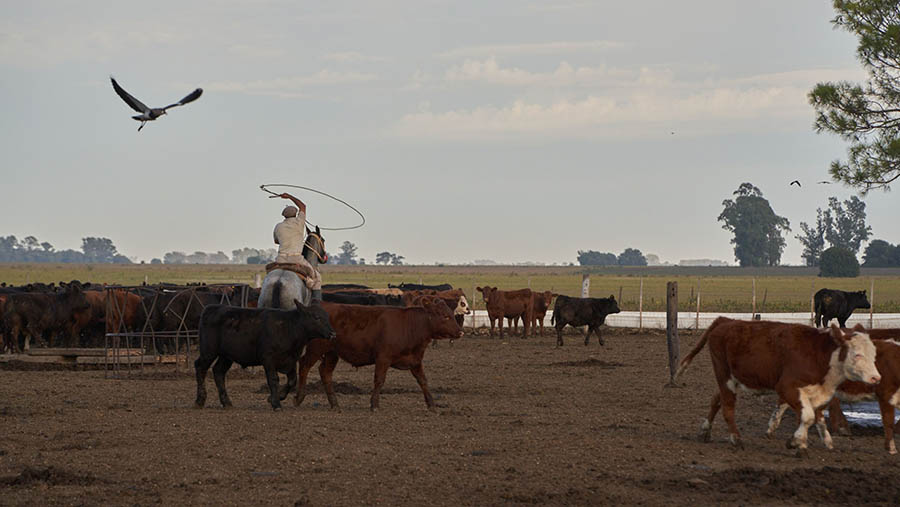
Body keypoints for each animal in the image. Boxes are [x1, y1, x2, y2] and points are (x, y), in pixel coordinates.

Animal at [195, 302, 336, 412]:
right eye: (316, 317)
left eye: (327, 316)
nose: (333, 334)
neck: (288, 328)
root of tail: (210, 308)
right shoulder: (268, 359)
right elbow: (273, 379)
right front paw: (276, 403)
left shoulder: (291, 360)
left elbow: (292, 380)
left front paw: (279, 396)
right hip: (208, 351)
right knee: (200, 367)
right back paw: (200, 400)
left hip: (226, 356)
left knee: (218, 372)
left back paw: (226, 402)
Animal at [296, 300, 464, 410]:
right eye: (445, 316)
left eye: (451, 314)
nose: (460, 332)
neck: (411, 326)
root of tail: (323, 304)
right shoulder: (383, 358)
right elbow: (379, 380)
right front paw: (374, 404)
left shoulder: (415, 361)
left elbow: (423, 381)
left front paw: (431, 404)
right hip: (316, 348)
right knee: (304, 366)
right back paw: (299, 397)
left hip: (332, 353)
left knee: (325, 373)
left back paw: (334, 403)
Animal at [676, 318, 880, 456]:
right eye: (857, 354)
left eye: (874, 353)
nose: (876, 378)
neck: (819, 354)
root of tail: (726, 321)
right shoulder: (786, 388)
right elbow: (807, 417)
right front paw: (798, 444)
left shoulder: (817, 393)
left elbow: (817, 417)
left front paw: (822, 441)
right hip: (724, 376)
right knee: (727, 407)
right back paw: (736, 439)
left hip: (731, 380)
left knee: (716, 400)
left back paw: (705, 431)